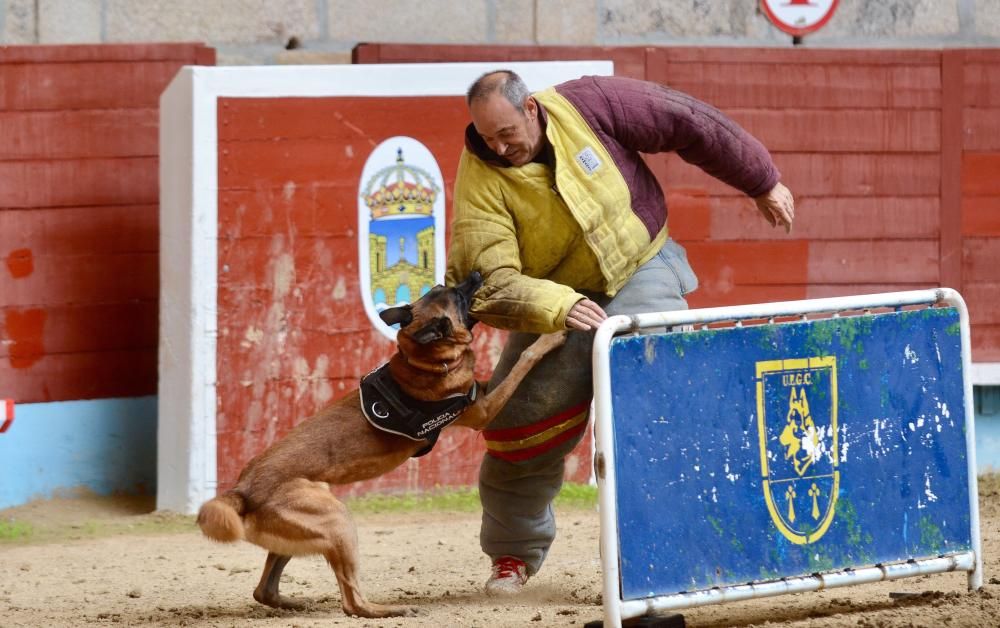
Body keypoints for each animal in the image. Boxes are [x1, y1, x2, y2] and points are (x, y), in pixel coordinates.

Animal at [199, 274, 568, 620]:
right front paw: (550, 337)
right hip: (337, 521)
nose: (476, 274)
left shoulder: (482, 391)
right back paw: (390, 609)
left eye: (443, 288)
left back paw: (296, 603)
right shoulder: (484, 410)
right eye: (459, 297)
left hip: (307, 522)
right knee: (352, 602)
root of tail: (242, 489)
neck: (422, 360)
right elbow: (523, 361)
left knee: (264, 590)